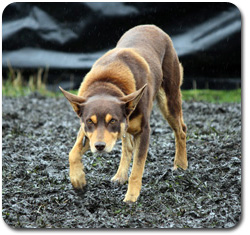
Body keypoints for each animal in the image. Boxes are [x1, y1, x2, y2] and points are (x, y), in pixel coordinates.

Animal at [59, 24, 188, 203]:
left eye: (112, 120)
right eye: (90, 121)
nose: (100, 147)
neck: (107, 84)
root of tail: (152, 26)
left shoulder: (143, 131)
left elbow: (137, 168)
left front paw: (131, 197)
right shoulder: (88, 133)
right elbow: (72, 153)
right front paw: (78, 181)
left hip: (169, 100)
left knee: (180, 131)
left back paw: (181, 165)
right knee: (127, 147)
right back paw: (120, 176)